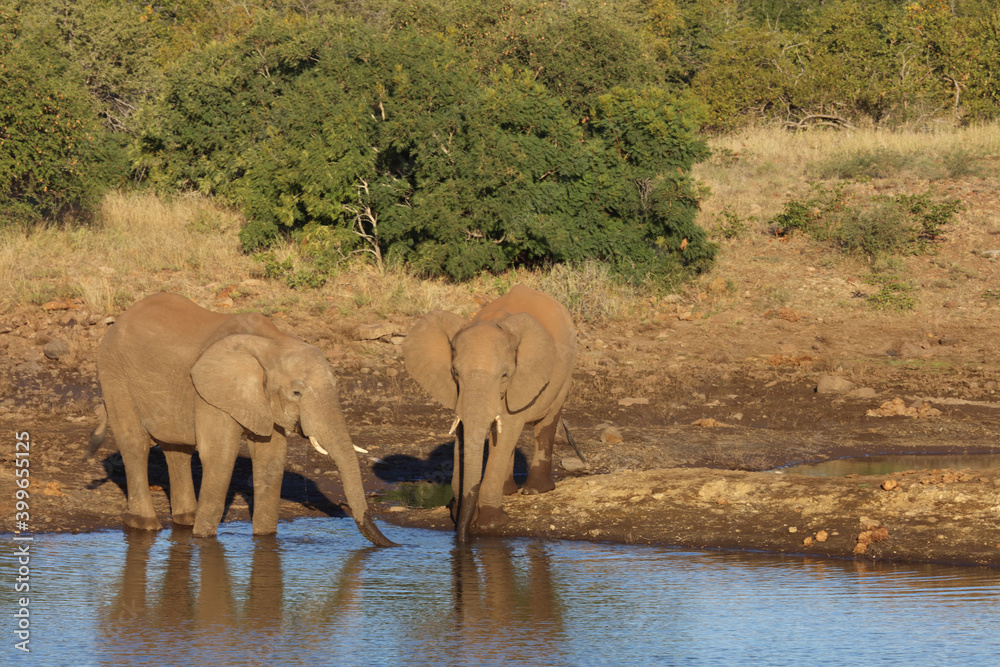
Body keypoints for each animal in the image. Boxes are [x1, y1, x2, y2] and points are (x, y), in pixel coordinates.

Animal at [87, 292, 395, 546]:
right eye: (296, 393)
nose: (393, 544)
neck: (274, 342)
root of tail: (119, 319)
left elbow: (271, 459)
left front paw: (265, 538)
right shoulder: (211, 393)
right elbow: (220, 456)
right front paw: (203, 539)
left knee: (177, 449)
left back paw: (186, 520)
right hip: (113, 371)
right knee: (134, 443)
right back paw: (145, 524)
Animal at [403, 284, 576, 541]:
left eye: (504, 375)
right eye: (455, 372)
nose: (462, 535)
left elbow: (508, 428)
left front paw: (490, 524)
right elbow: (465, 432)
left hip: (566, 371)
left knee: (545, 422)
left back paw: (535, 491)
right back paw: (508, 491)